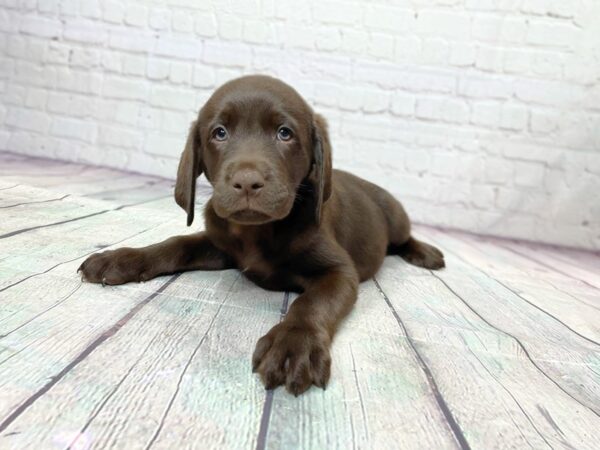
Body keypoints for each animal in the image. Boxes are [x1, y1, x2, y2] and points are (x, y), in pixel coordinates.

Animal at [78, 75, 446, 396]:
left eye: (284, 133)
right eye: (219, 133)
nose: (246, 181)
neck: (257, 231)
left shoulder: (339, 271)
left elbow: (311, 303)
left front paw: (294, 344)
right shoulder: (220, 245)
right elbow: (176, 244)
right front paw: (121, 258)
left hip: (395, 217)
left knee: (403, 239)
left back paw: (426, 253)